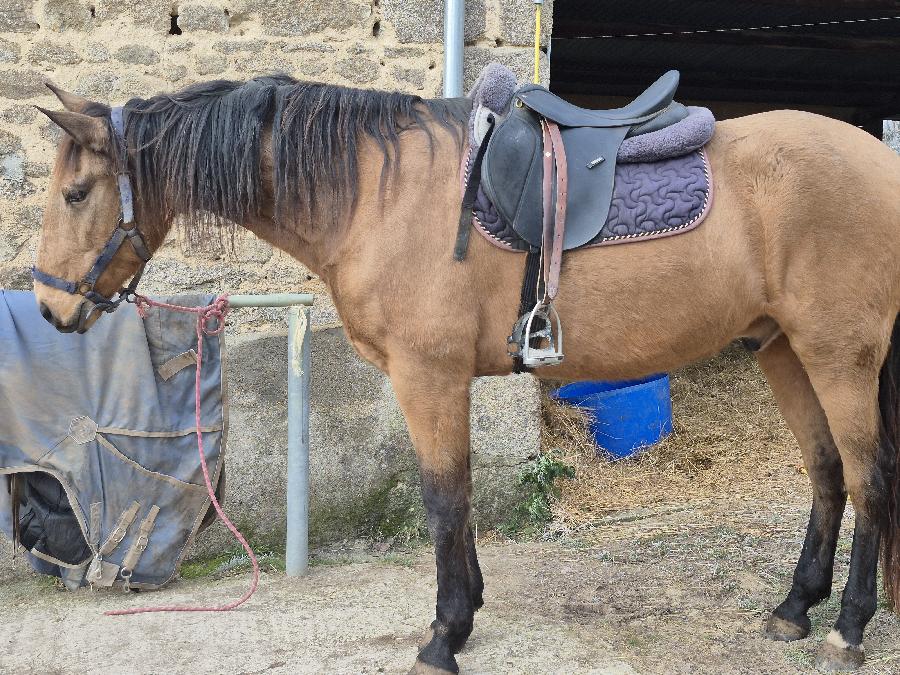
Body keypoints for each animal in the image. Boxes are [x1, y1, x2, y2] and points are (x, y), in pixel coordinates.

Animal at [31, 74, 900, 673]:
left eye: (77, 192)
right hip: (783, 350)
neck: (374, 194)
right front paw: (467, 610)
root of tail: (879, 158)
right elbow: (461, 495)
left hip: (838, 354)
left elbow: (442, 498)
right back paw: (794, 606)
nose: (47, 306)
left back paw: (849, 626)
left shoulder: (428, 376)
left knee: (868, 479)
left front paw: (444, 633)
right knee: (826, 473)